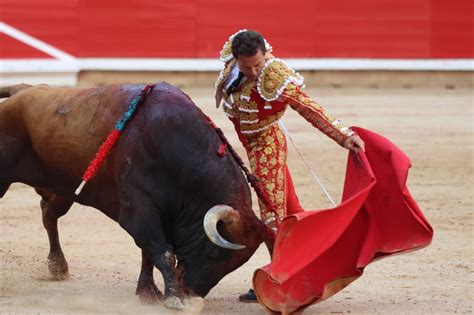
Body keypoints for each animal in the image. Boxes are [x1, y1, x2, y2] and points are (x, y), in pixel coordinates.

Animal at [0, 82, 270, 310]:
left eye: (235, 264)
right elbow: (162, 251)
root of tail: (20, 90)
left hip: (63, 188)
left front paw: (149, 292)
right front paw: (174, 298)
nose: (192, 292)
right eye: (216, 253)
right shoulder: (139, 212)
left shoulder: (162, 215)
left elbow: (149, 253)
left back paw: (57, 266)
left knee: (48, 214)